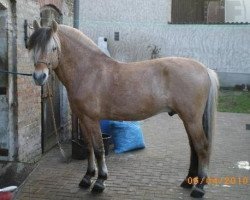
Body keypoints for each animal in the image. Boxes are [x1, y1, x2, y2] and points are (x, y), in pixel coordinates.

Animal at [28, 19, 218, 198]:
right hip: (188, 119)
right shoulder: (82, 118)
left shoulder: (92, 119)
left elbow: (99, 149)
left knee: (202, 147)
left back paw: (199, 188)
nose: (39, 77)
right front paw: (87, 178)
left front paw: (100, 182)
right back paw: (188, 182)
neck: (88, 71)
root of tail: (204, 69)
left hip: (191, 119)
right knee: (194, 148)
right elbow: (89, 147)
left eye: (53, 48)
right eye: (32, 47)